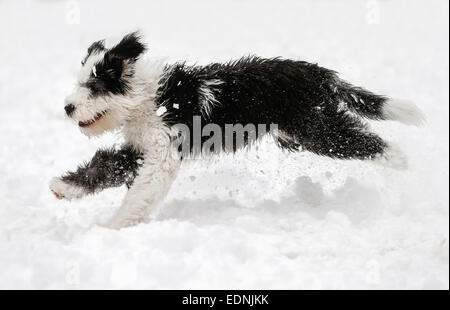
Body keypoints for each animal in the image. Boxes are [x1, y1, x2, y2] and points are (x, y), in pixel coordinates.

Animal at [49, 32, 426, 230]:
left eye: (93, 86)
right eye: (81, 83)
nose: (67, 108)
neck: (148, 96)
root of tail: (321, 75)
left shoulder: (163, 152)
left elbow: (142, 190)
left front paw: (115, 224)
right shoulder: (142, 148)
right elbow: (107, 165)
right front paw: (64, 188)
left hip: (315, 128)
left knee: (361, 139)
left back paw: (402, 160)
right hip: (298, 134)